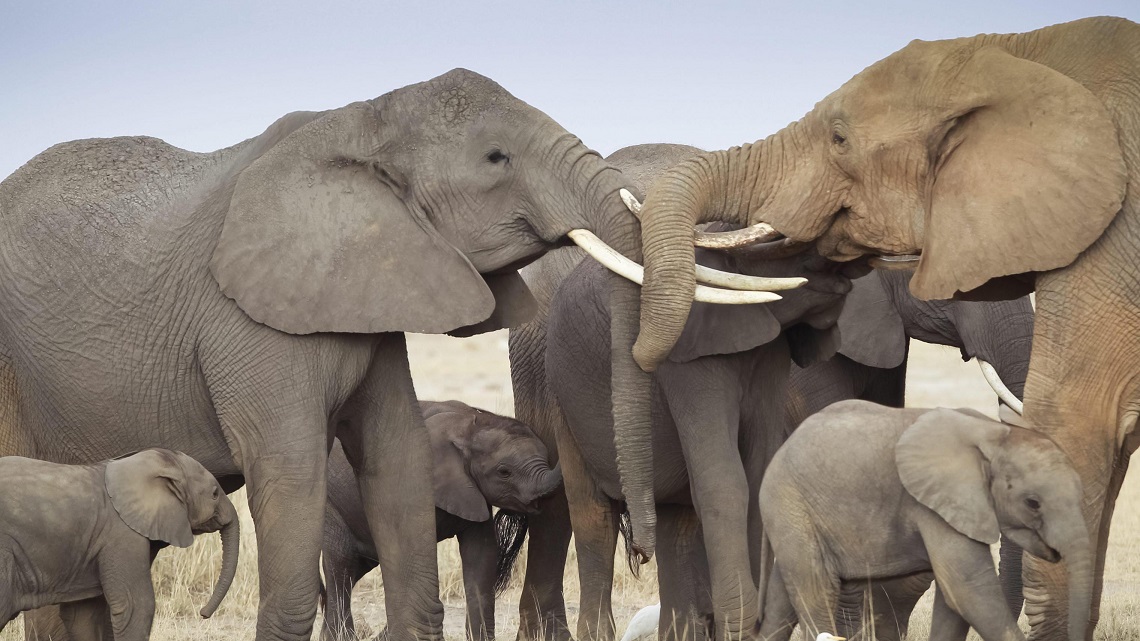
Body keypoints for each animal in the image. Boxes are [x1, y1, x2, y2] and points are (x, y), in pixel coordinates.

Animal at [321, 399, 560, 638]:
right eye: (504, 472)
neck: (473, 424)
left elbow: (481, 556)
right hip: (330, 505)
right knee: (341, 564)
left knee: (355, 568)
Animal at [756, 399, 1085, 638]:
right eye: (1033, 503)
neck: (992, 433)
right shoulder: (935, 505)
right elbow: (969, 589)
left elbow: (952, 599)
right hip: (788, 500)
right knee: (815, 588)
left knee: (782, 600)